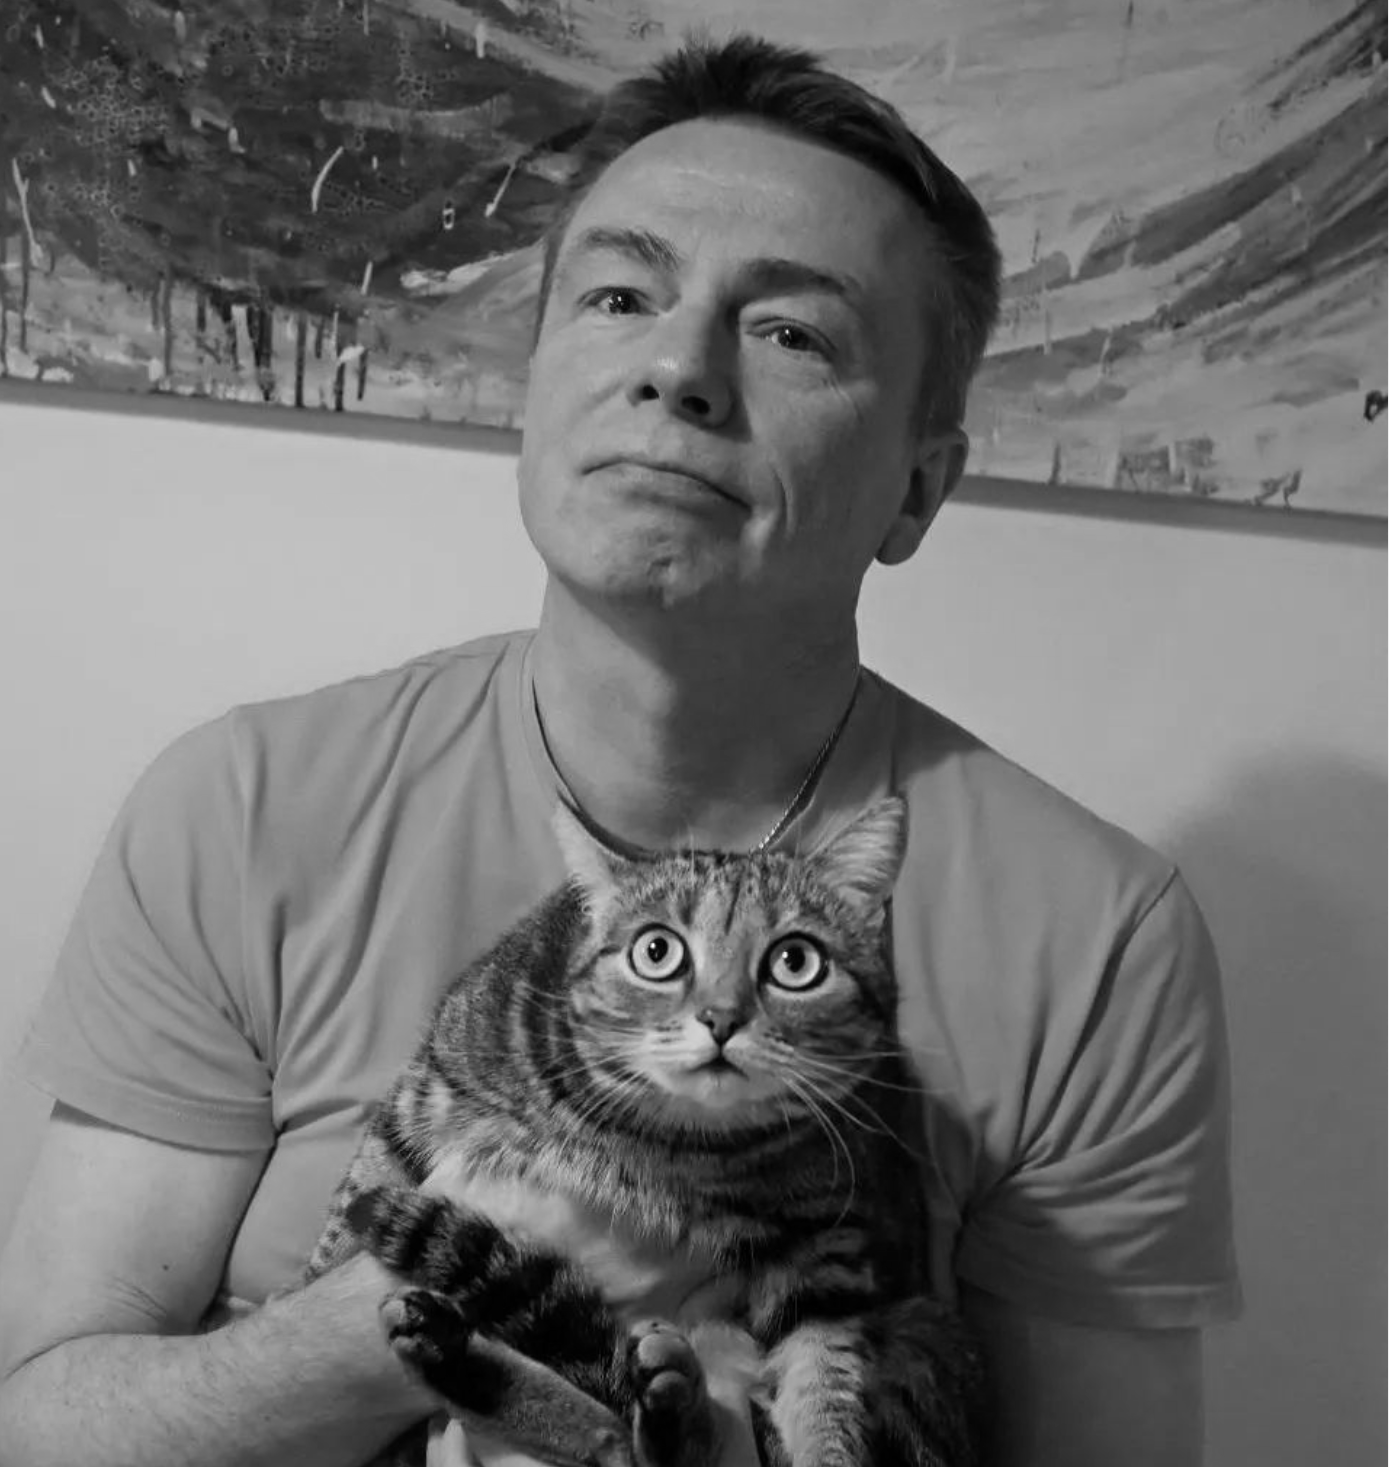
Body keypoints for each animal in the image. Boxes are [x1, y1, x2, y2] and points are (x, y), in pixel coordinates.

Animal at [306, 803, 979, 1467]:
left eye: (796, 962)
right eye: (657, 952)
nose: (721, 1018)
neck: (675, 1146)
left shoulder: (829, 1248)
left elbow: (825, 1386)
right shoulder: (428, 1091)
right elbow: (344, 1223)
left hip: (923, 1335)